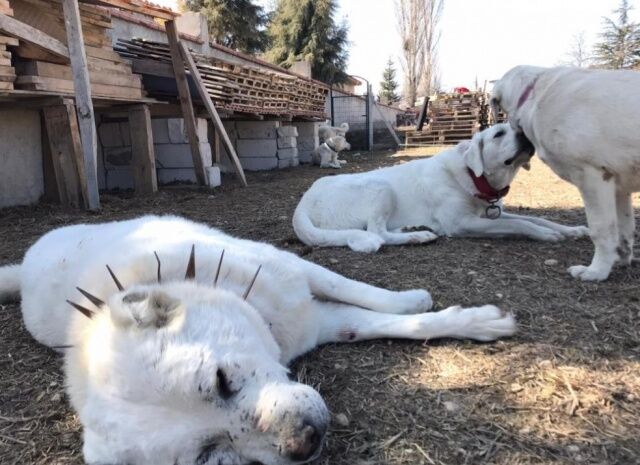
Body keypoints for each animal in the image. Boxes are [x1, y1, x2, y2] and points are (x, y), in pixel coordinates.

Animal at [0, 216, 516, 465]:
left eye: (221, 380)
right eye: (209, 456)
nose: (304, 442)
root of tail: (27, 265)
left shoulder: (288, 267)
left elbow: (365, 295)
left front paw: (432, 308)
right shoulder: (314, 320)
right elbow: (365, 322)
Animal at [293, 124, 588, 253]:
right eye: (499, 133)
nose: (526, 132)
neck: (472, 176)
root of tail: (303, 204)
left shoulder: (492, 213)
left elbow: (535, 218)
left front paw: (572, 230)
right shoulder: (461, 223)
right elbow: (521, 224)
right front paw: (546, 235)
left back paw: (412, 228)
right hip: (380, 187)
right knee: (377, 233)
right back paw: (417, 236)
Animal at [491, 65, 640, 281]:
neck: (535, 96)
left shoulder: (592, 176)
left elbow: (601, 229)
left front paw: (597, 271)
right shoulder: (618, 186)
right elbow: (624, 229)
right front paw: (619, 259)